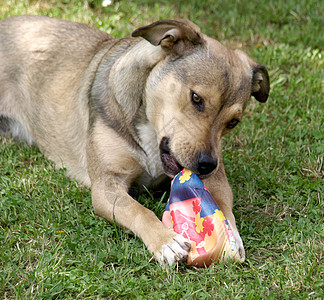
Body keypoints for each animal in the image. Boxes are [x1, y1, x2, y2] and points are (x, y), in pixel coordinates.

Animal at [0, 15, 268, 266]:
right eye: (196, 98)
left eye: (233, 122)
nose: (207, 165)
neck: (149, 128)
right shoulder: (106, 186)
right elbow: (138, 210)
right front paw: (165, 240)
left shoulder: (215, 178)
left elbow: (222, 203)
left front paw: (231, 234)